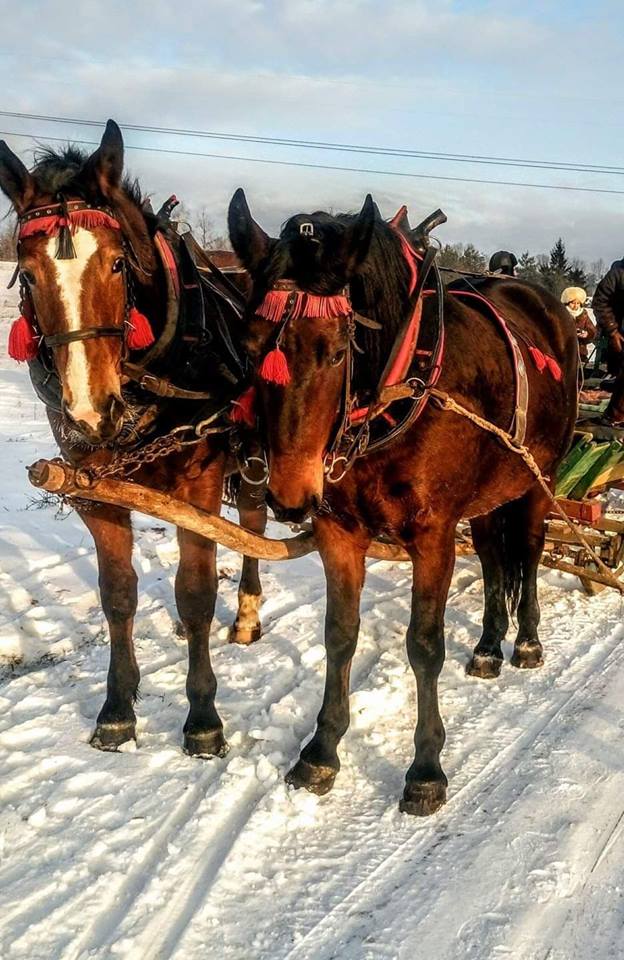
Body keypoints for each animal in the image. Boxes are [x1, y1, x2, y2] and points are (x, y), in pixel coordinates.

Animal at [0, 124, 266, 756]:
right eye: (28, 274)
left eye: (119, 264)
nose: (89, 411)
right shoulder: (96, 490)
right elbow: (117, 594)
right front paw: (118, 708)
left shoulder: (198, 486)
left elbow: (195, 594)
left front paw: (203, 717)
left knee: (251, 524)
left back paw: (247, 614)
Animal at [227, 189, 576, 816]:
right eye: (247, 346)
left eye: (336, 350)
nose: (289, 495)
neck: (398, 393)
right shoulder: (339, 531)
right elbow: (339, 635)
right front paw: (322, 749)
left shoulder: (433, 535)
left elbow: (424, 645)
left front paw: (426, 768)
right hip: (488, 494)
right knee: (494, 558)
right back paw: (489, 644)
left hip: (540, 480)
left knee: (530, 552)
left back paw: (527, 641)